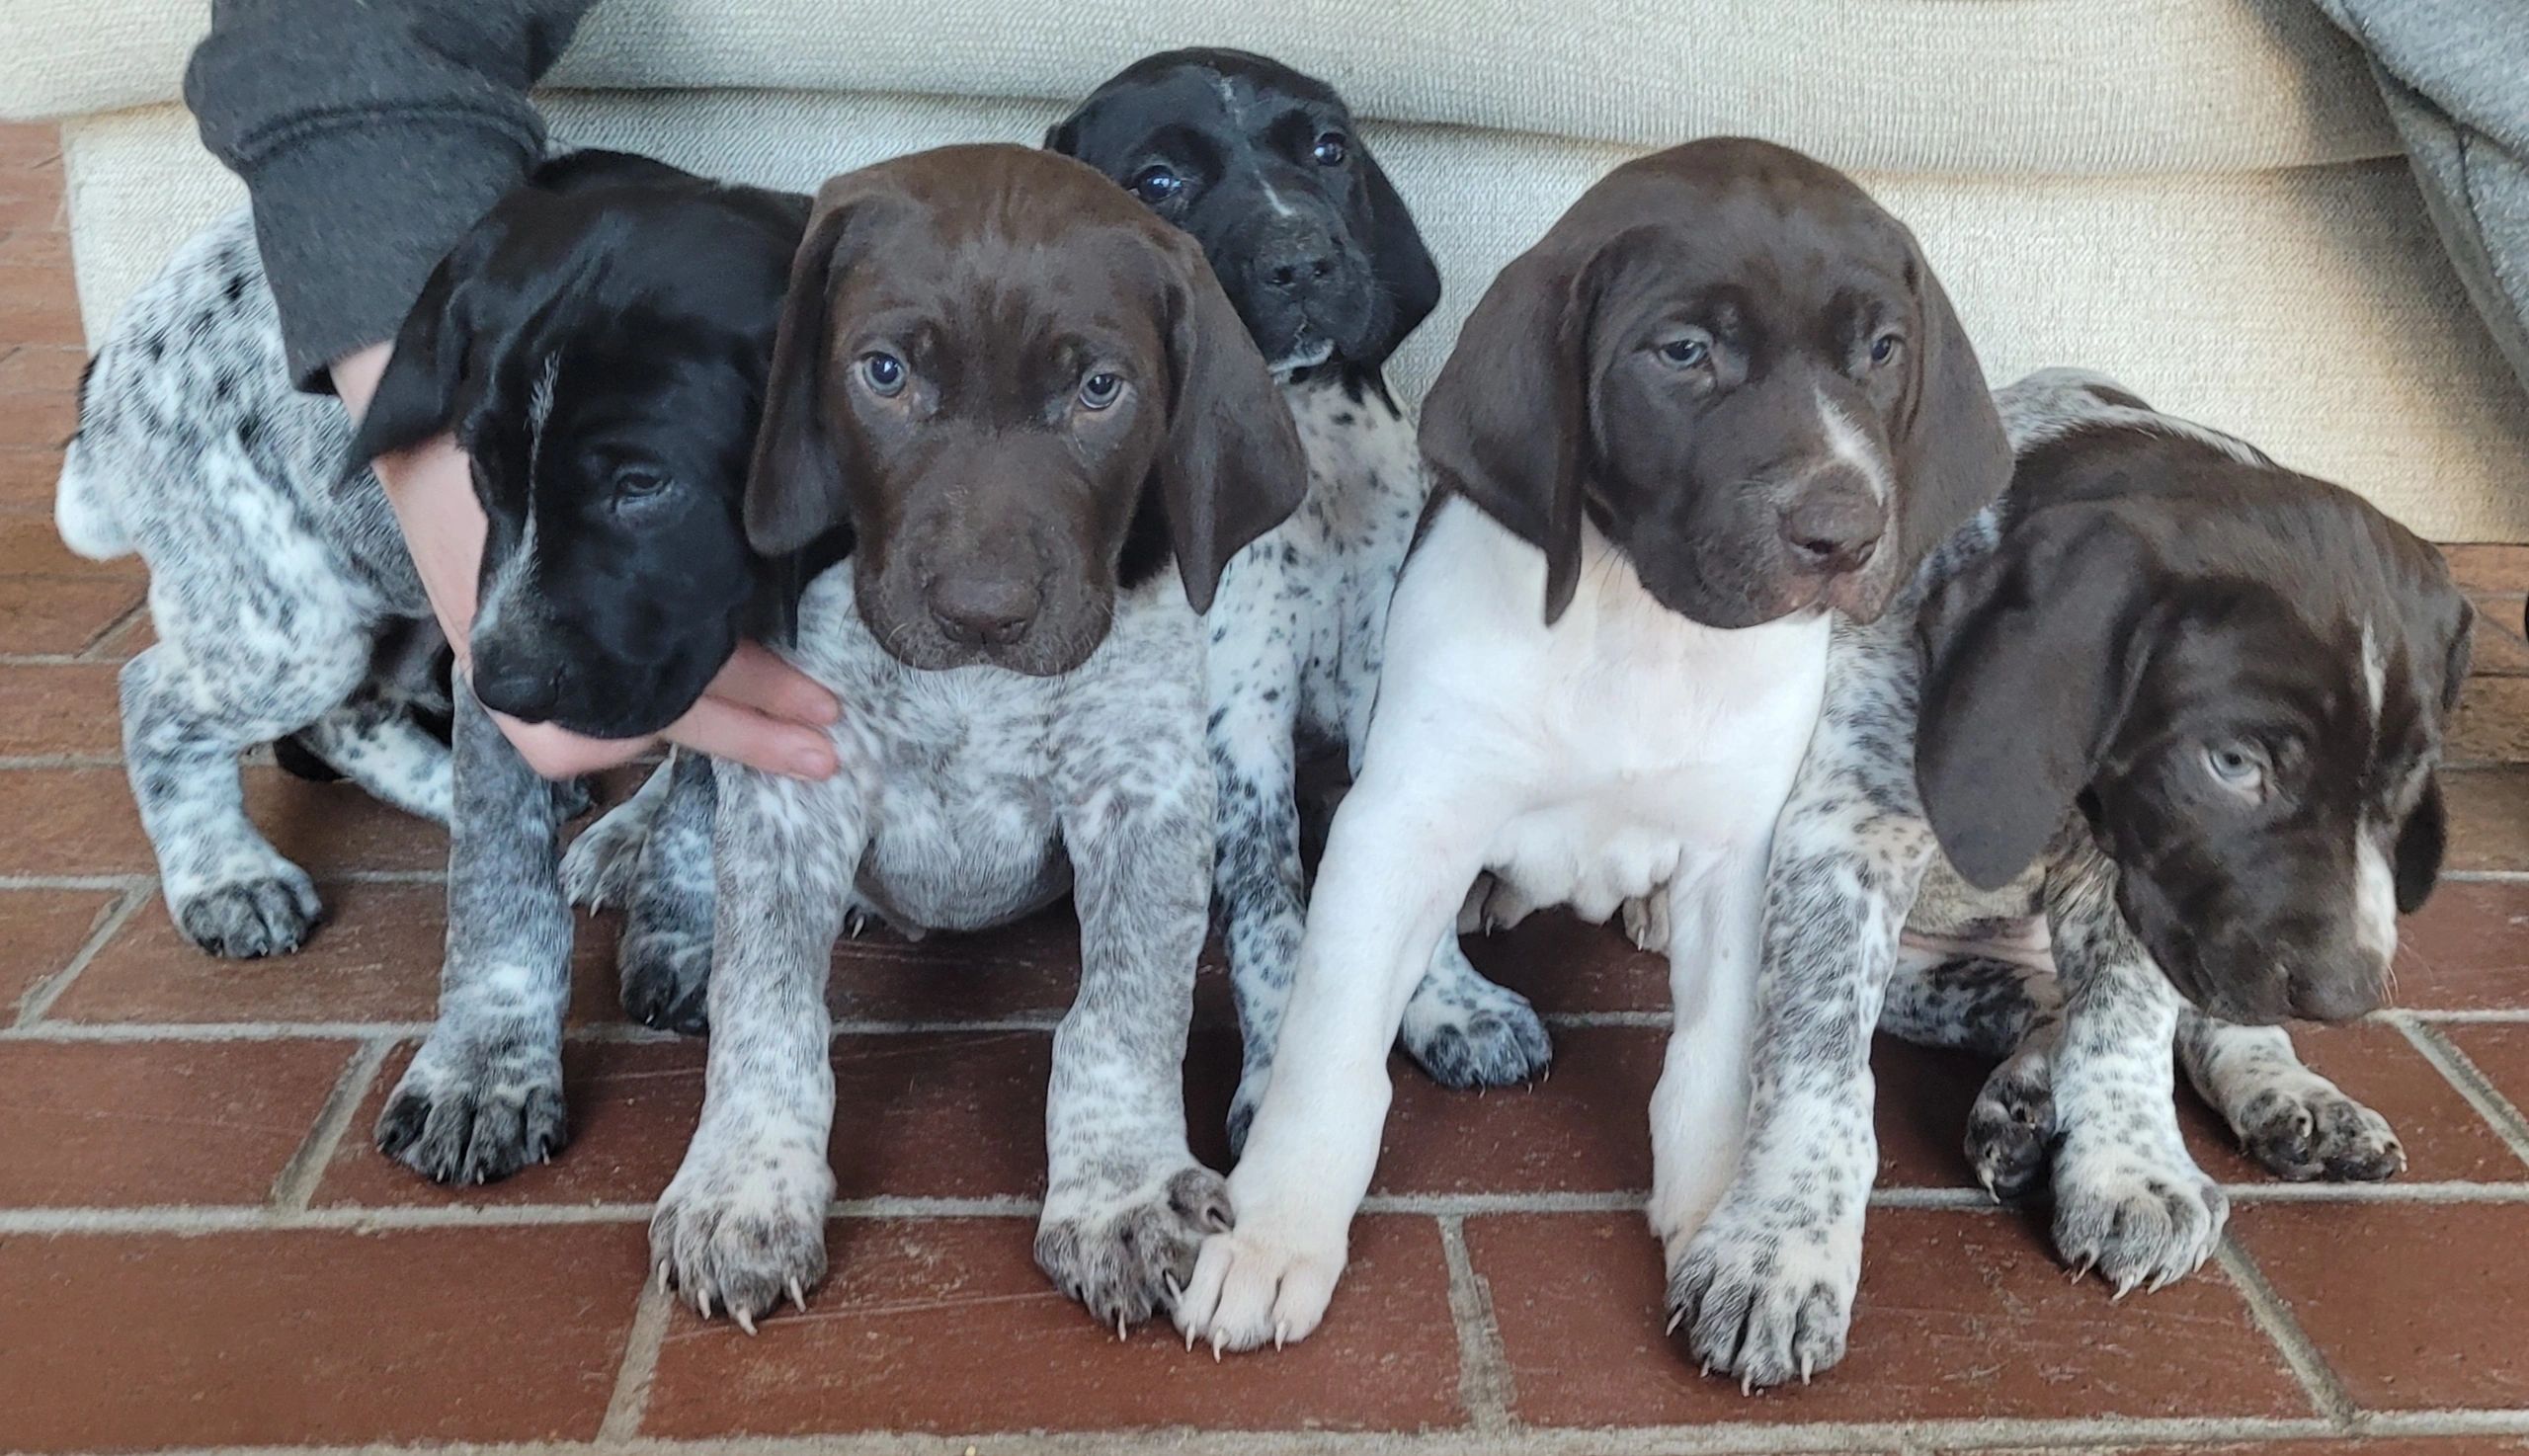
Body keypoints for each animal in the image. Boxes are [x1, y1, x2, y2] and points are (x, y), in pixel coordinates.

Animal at [54, 153, 804, 1187]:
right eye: (476, 471)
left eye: (643, 486)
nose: (510, 686)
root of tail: (110, 372)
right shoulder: (508, 630)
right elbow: (503, 896)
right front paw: (485, 1075)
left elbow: (699, 816)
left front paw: (686, 936)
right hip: (298, 617)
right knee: (156, 695)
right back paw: (226, 877)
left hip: (398, 605)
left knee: (355, 711)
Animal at [1036, 47, 1547, 1147]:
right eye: (1157, 181)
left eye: (1327, 149)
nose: (1306, 262)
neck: (1301, 448)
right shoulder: (1238, 720)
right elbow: (1271, 904)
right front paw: (1278, 1080)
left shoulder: (1383, 684)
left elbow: (1399, 868)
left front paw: (1456, 1005)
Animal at [1168, 136, 2012, 1354]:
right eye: (1684, 352)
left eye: (1882, 349)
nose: (1845, 533)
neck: (1638, 625)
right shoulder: (1400, 826)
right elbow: (1327, 1055)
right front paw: (1276, 1230)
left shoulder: (1742, 861)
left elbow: (1712, 1060)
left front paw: (1722, 1219)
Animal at [1669, 366, 2478, 1385]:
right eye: (2233, 763)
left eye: (2410, 773)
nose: (2346, 996)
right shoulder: (1843, 845)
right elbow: (1816, 1063)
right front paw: (1778, 1246)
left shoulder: (2137, 875)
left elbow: (2127, 1032)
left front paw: (2129, 1170)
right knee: (2036, 1005)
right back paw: (2024, 1100)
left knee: (2176, 1021)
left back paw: (2286, 1094)